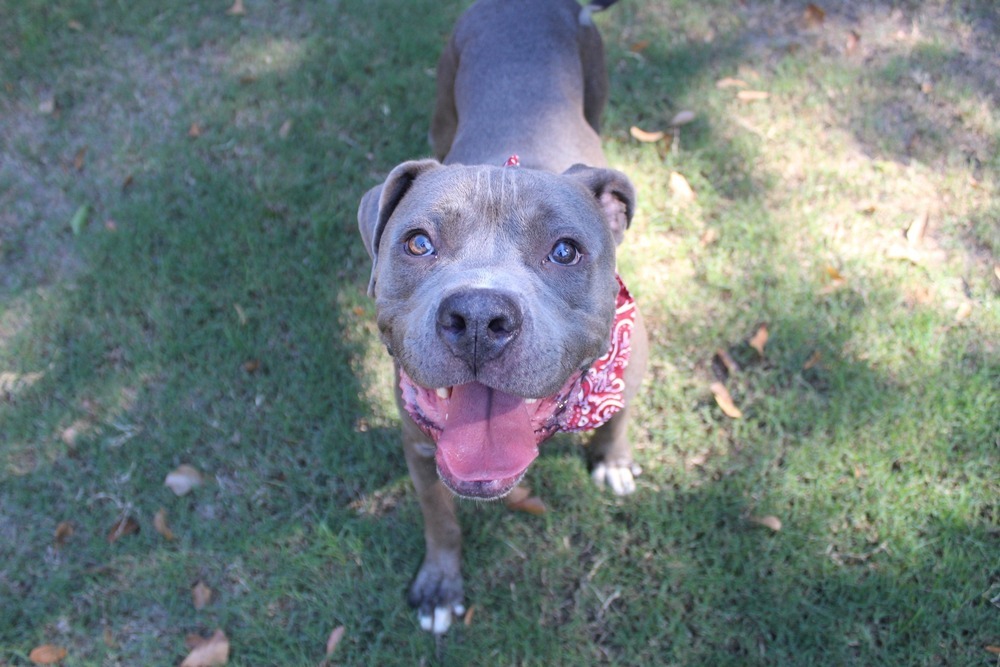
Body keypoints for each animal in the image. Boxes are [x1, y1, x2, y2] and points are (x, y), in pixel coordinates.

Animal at [358, 0, 648, 636]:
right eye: (418, 243)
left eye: (565, 251)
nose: (477, 316)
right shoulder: (419, 447)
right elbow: (441, 520)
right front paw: (440, 587)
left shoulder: (632, 368)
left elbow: (617, 417)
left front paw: (612, 461)